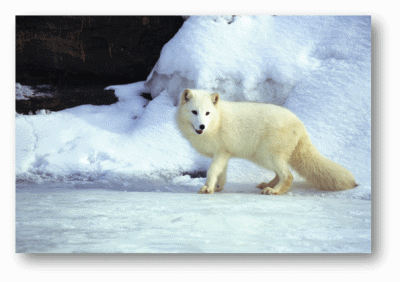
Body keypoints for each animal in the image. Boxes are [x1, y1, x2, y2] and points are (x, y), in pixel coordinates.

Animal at [177, 89, 358, 195]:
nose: (201, 126)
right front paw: (218, 187)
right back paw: (267, 185)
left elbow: (212, 171)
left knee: (287, 175)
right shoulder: (224, 153)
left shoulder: (221, 152)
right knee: (279, 174)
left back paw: (274, 191)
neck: (217, 121)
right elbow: (221, 173)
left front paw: (207, 188)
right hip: (263, 157)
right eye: (194, 112)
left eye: (207, 113)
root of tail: (299, 124)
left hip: (267, 155)